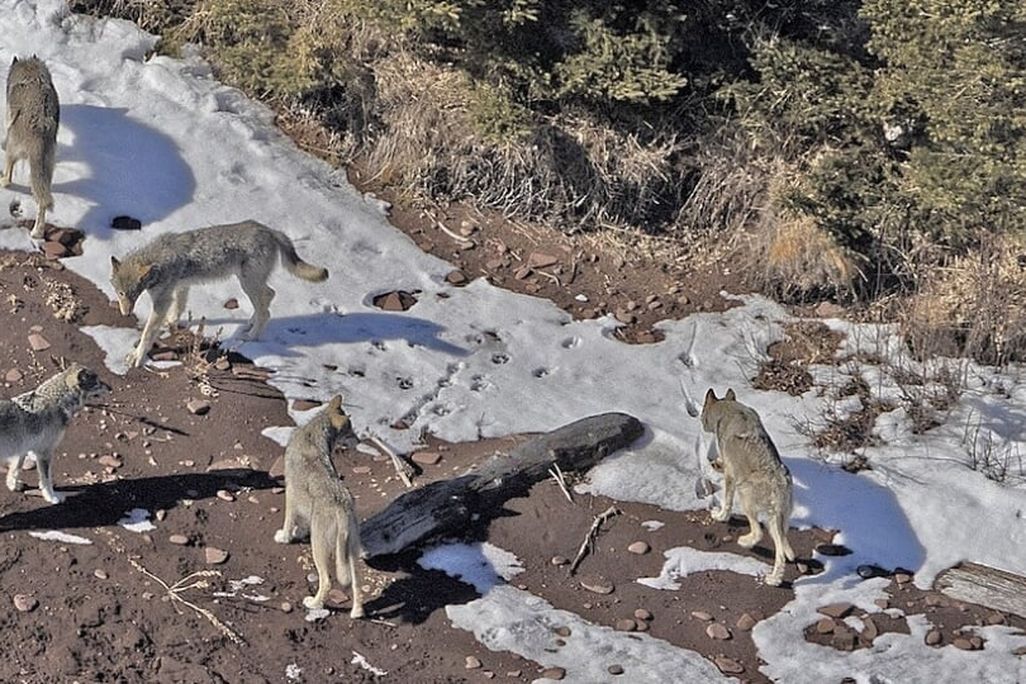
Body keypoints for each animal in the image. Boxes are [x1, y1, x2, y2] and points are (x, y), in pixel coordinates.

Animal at [1, 364, 110, 504]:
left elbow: (15, 469)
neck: (57, 401)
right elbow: (47, 480)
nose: (110, 388)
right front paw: (52, 497)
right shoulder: (44, 453)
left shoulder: (22, 449)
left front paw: (13, 485)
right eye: (97, 383)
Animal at [2, 56, 59, 239]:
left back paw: (2, 181)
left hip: (13, 148)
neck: (31, 74)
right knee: (42, 202)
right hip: (46, 170)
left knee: (8, 175)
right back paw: (37, 232)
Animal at [109, 220, 329, 368]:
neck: (158, 260)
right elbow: (178, 309)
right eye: (120, 293)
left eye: (133, 295)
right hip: (249, 283)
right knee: (269, 296)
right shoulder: (180, 287)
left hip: (247, 283)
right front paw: (170, 323)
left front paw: (137, 356)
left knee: (266, 310)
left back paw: (251, 336)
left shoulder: (162, 300)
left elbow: (147, 333)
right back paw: (250, 322)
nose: (126, 313)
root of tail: (270, 230)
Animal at [274, 394, 364, 618]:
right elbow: (302, 523)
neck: (312, 433)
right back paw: (357, 612)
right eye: (351, 431)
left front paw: (284, 537)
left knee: (327, 582)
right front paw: (298, 533)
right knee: (357, 584)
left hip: (319, 549)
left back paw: (314, 604)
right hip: (351, 552)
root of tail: (342, 508)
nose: (360, 441)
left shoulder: (291, 494)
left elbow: (289, 522)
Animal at [701, 387, 796, 586]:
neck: (728, 410)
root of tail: (778, 483)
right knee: (782, 548)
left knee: (759, 533)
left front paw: (720, 516)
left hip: (746, 499)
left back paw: (744, 542)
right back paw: (775, 578)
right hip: (778, 519)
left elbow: (726, 503)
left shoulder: (731, 476)